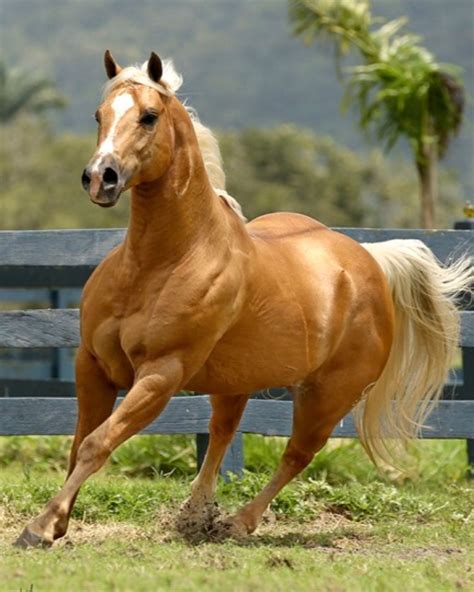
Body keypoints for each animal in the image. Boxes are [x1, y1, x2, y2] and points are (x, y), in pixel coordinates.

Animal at [15, 53, 470, 548]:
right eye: (99, 116)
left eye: (149, 116)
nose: (101, 177)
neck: (160, 262)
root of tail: (369, 258)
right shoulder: (92, 364)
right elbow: (79, 444)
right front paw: (58, 523)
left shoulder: (160, 375)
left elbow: (97, 444)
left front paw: (39, 527)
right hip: (235, 384)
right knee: (221, 435)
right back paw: (195, 516)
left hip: (328, 396)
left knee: (297, 454)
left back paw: (237, 522)